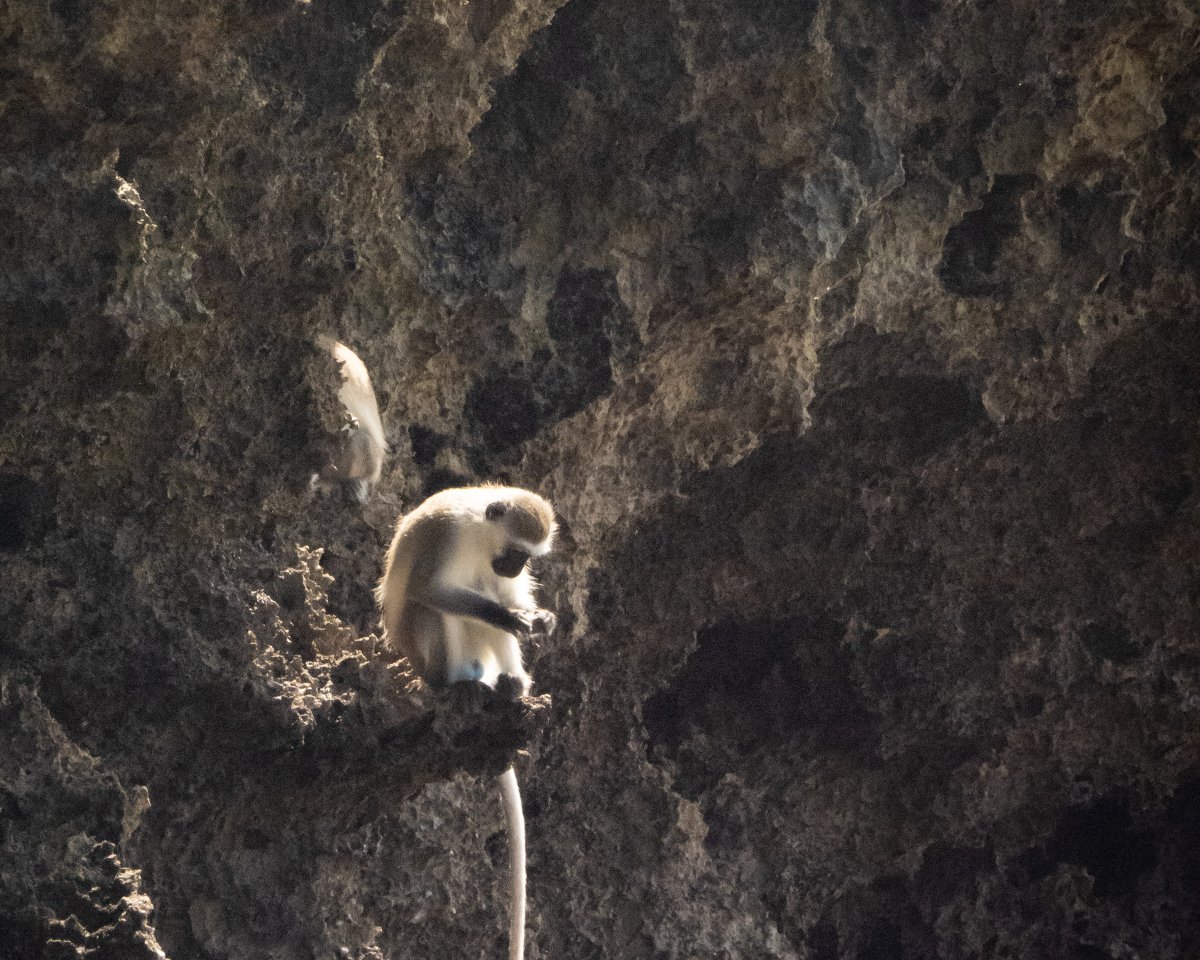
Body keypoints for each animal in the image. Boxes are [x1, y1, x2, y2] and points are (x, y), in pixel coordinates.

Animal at [376, 485, 557, 960]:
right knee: (435, 610)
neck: (480, 527)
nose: (515, 566)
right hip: (429, 653)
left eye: (527, 558)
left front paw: (538, 618)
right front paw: (512, 616)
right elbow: (430, 590)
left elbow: (508, 596)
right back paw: (459, 687)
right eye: (516, 551)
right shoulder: (447, 535)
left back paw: (513, 684)